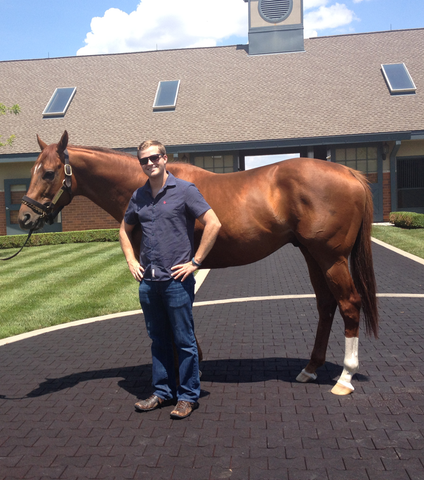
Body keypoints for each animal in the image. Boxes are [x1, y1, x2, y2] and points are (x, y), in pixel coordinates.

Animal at [19, 131, 378, 394]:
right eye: (32, 170)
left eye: (48, 172)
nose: (24, 217)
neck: (151, 187)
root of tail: (349, 172)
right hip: (311, 253)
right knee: (326, 305)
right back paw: (310, 369)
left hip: (330, 257)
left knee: (349, 303)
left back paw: (344, 378)